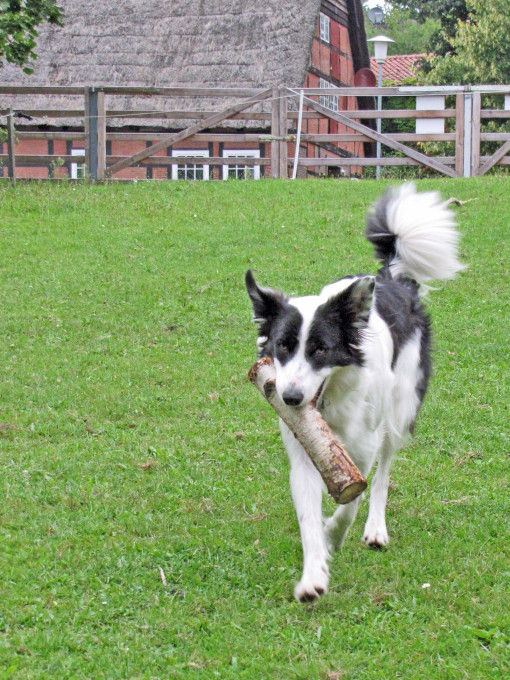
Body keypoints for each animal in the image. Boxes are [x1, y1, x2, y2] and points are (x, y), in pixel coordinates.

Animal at [245, 183, 464, 602]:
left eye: (320, 350)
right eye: (282, 346)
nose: (290, 399)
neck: (330, 406)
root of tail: (393, 279)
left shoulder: (361, 449)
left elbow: (354, 496)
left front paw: (334, 533)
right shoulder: (305, 448)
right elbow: (308, 515)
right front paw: (313, 573)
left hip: (398, 411)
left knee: (383, 474)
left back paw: (376, 528)